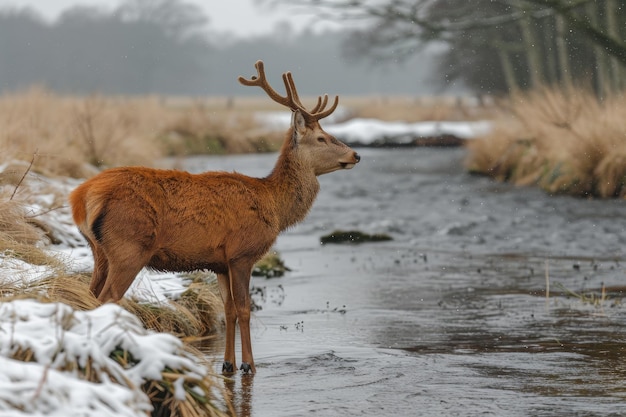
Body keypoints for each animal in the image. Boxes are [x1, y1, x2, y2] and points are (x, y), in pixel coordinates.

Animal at [68, 59, 358, 374]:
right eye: (322, 137)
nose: (355, 155)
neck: (274, 206)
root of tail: (81, 197)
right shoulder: (242, 253)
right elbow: (244, 309)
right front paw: (249, 366)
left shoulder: (219, 262)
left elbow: (228, 309)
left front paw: (228, 364)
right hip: (129, 246)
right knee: (107, 299)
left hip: (99, 250)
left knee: (88, 295)